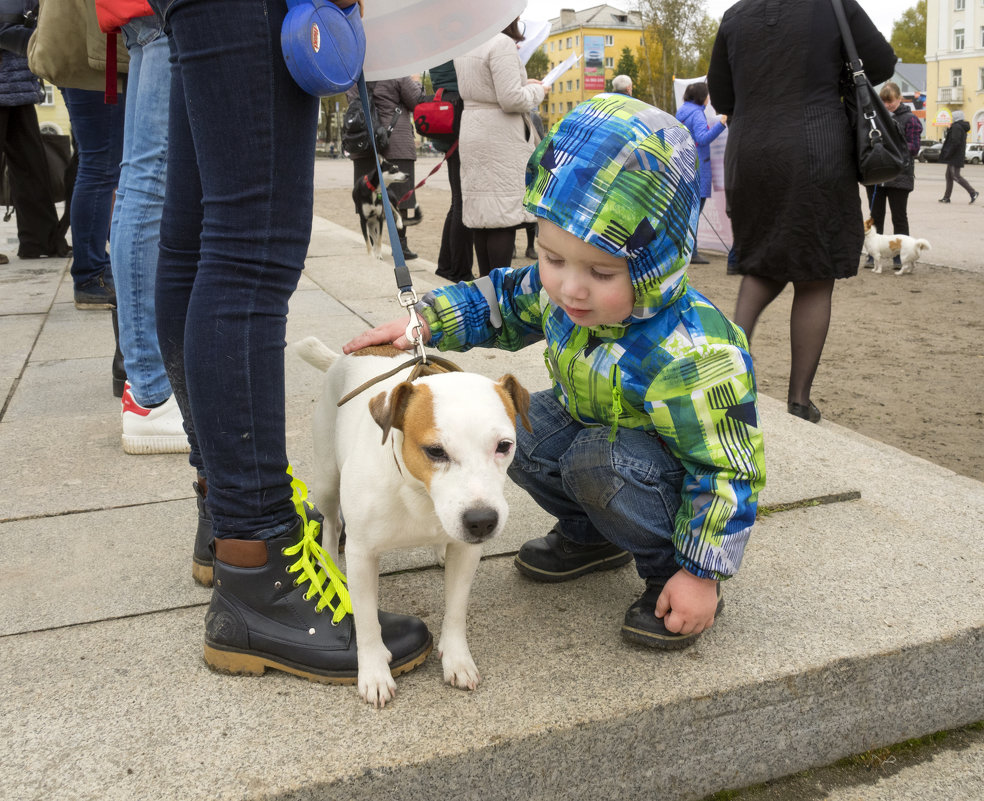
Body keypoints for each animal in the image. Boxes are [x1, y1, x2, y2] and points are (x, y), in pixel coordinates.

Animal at [294, 338, 532, 708]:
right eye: (435, 451)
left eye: (504, 446)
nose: (482, 521)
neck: (419, 492)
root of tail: (341, 359)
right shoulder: (363, 556)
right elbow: (367, 621)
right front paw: (374, 673)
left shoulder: (467, 552)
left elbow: (456, 609)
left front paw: (457, 658)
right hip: (326, 480)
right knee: (332, 525)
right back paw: (330, 562)